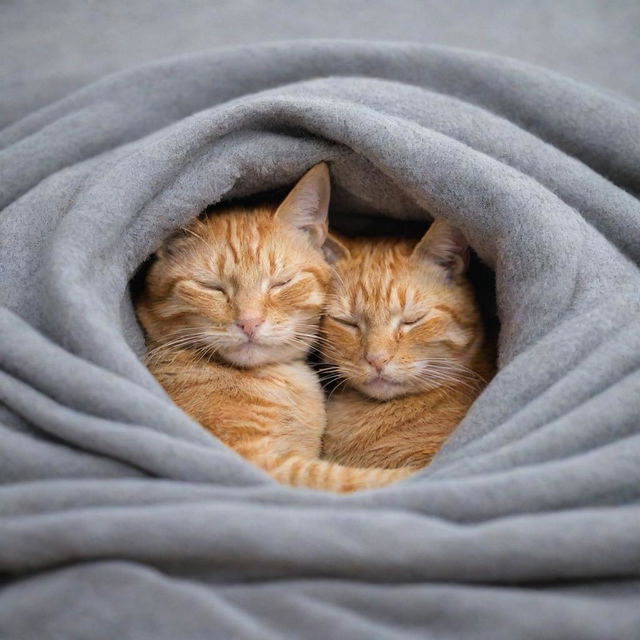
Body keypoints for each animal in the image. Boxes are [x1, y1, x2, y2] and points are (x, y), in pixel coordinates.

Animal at [138, 164, 412, 490]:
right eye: (212, 287)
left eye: (281, 283)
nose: (249, 322)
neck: (282, 380)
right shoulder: (257, 463)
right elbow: (341, 479)